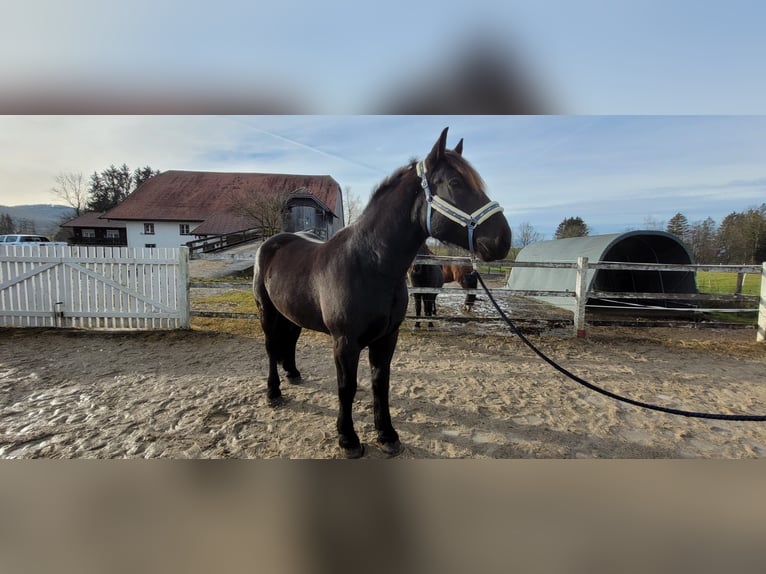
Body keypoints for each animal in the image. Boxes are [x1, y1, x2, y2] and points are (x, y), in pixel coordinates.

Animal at [255, 129, 512, 460]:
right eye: (455, 183)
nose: (503, 239)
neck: (369, 265)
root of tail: (272, 243)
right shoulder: (345, 342)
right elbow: (347, 388)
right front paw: (348, 439)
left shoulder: (387, 338)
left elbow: (381, 384)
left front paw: (387, 435)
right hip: (267, 312)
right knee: (271, 347)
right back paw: (273, 392)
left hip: (291, 314)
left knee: (289, 342)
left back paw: (293, 373)